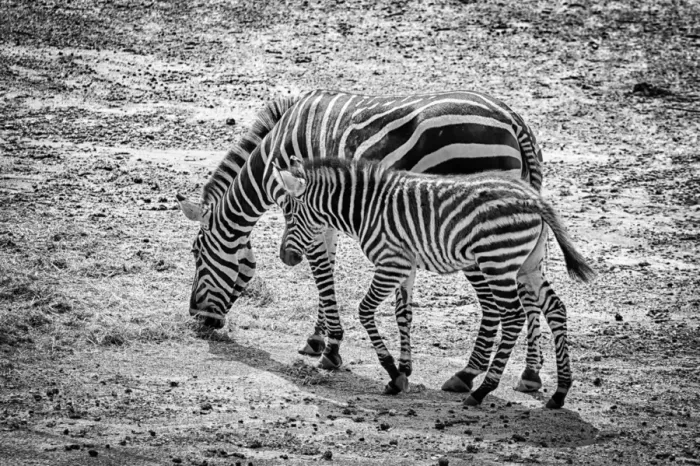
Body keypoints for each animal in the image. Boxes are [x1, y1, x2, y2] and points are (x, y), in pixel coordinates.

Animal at [176, 89, 549, 393]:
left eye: (196, 254)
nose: (197, 319)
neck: (272, 155)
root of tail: (513, 118)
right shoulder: (320, 212)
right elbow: (325, 269)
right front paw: (320, 339)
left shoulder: (301, 207)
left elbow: (320, 271)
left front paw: (329, 348)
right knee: (532, 288)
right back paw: (530, 374)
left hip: (474, 227)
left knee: (495, 304)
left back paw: (467, 374)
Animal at [272, 157, 594, 408]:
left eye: (288, 213)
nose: (285, 257)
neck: (364, 210)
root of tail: (534, 197)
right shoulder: (407, 266)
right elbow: (403, 314)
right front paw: (402, 373)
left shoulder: (391, 263)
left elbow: (365, 311)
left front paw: (392, 371)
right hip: (529, 264)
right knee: (555, 308)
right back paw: (559, 393)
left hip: (497, 261)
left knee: (514, 316)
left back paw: (481, 391)